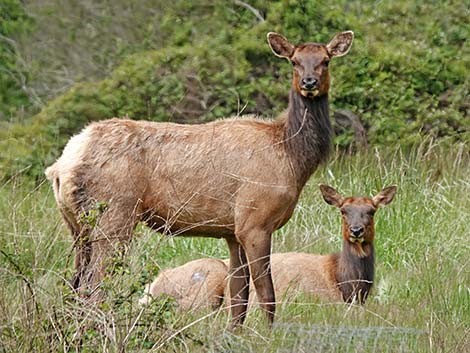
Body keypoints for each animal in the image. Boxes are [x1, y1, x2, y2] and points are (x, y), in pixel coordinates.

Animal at [46, 31, 354, 326]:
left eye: (325, 60)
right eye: (294, 61)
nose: (310, 82)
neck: (290, 156)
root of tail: (61, 166)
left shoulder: (232, 231)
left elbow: (239, 297)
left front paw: (235, 334)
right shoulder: (254, 221)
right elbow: (266, 293)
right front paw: (266, 335)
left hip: (77, 226)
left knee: (75, 285)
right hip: (114, 214)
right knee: (94, 286)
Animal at [142, 184, 396, 308]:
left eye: (371, 211)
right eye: (343, 210)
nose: (356, 231)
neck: (346, 283)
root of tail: (150, 288)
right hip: (207, 281)